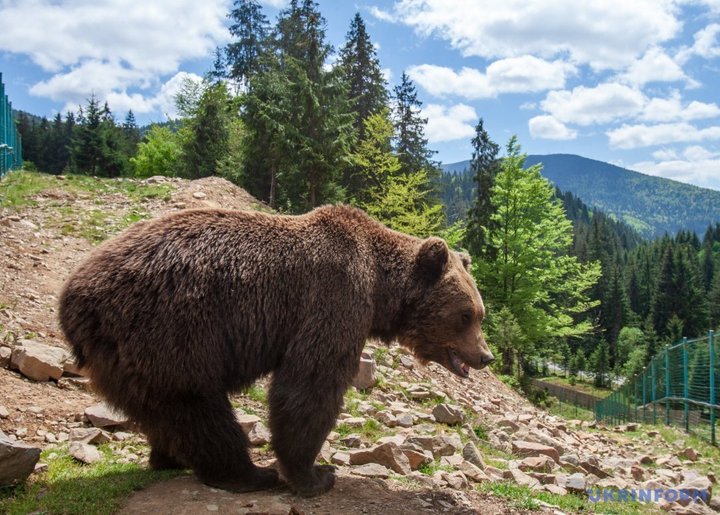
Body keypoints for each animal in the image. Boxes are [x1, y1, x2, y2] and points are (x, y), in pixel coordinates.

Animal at [59, 205, 492, 496]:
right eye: (466, 315)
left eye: (479, 313)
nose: (485, 356)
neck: (380, 288)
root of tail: (73, 299)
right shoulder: (334, 297)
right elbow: (310, 383)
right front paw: (314, 475)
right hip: (169, 329)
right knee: (198, 406)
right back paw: (246, 473)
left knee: (163, 410)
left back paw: (168, 457)